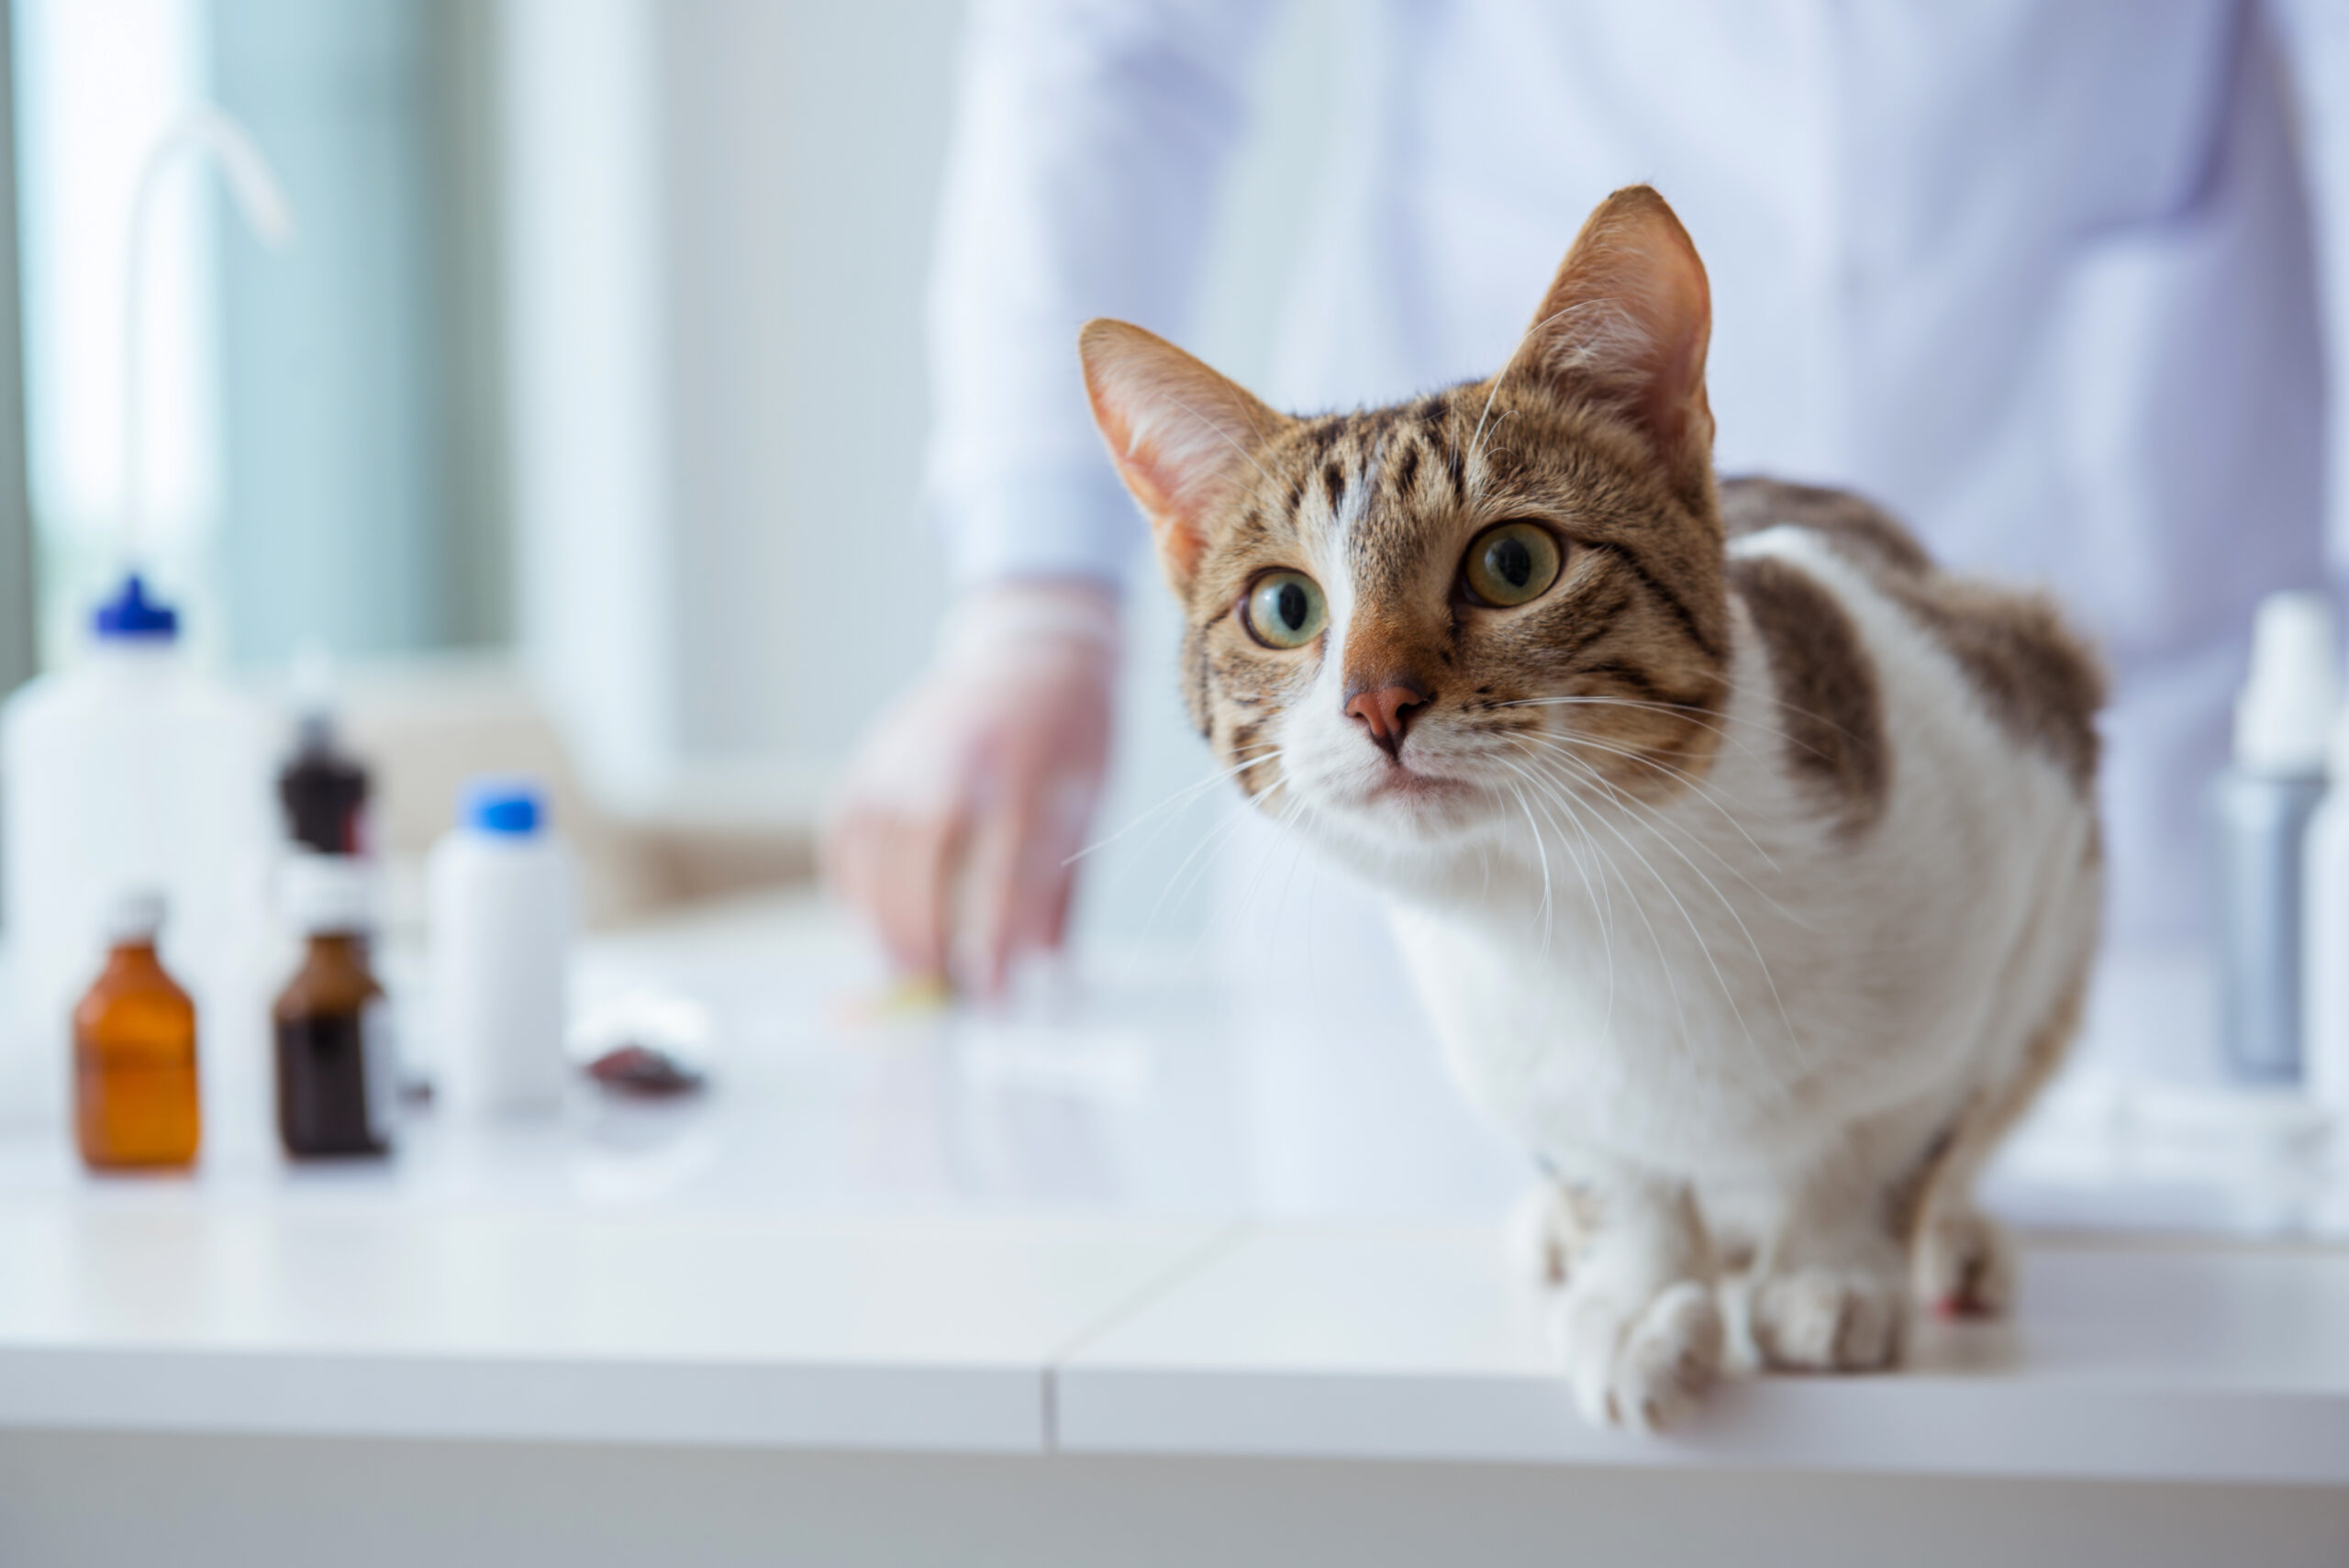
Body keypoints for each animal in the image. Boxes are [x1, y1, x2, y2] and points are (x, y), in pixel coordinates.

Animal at [1075, 186, 2104, 1436]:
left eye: (1513, 562)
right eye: (1283, 607)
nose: (1376, 700)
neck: (1592, 900)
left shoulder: (2023, 798)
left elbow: (1898, 1126)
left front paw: (1832, 1265)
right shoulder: (1515, 1058)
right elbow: (1614, 1165)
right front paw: (1641, 1288)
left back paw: (1951, 1240)